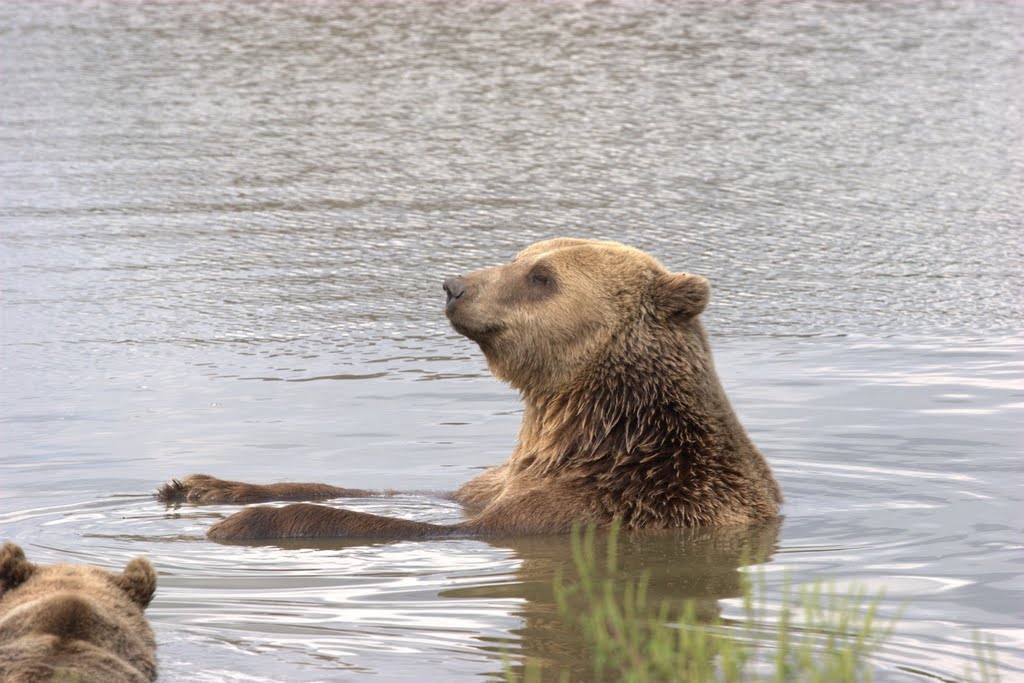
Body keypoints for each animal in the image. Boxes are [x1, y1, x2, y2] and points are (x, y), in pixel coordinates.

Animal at [159, 240, 778, 540]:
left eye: (542, 276)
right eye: (520, 254)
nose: (454, 285)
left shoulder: (601, 504)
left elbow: (428, 528)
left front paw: (251, 522)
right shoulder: (501, 480)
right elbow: (409, 491)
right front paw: (198, 485)